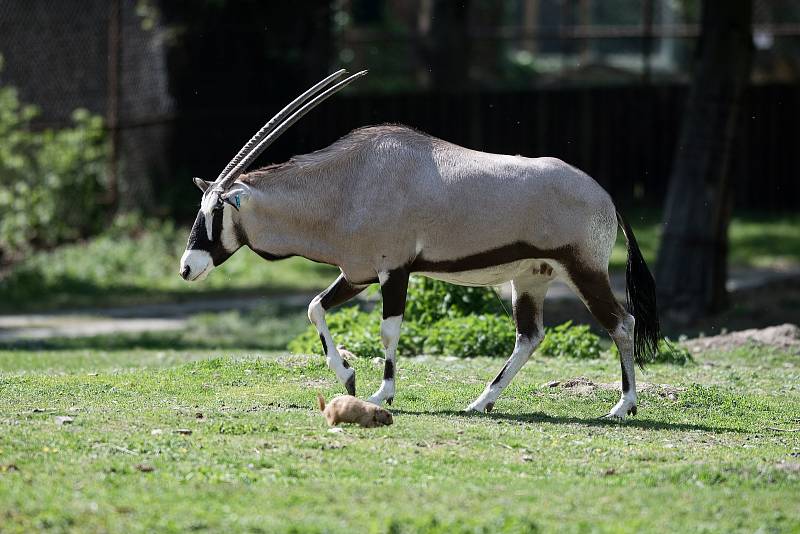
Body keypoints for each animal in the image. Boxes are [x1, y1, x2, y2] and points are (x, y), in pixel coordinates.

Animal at [181, 71, 664, 420]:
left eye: (215, 212)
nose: (186, 268)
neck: (348, 183)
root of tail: (605, 196)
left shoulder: (393, 269)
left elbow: (388, 330)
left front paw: (382, 393)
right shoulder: (357, 273)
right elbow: (315, 307)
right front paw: (348, 377)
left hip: (583, 270)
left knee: (621, 323)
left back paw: (623, 406)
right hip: (532, 279)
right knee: (529, 336)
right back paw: (481, 402)